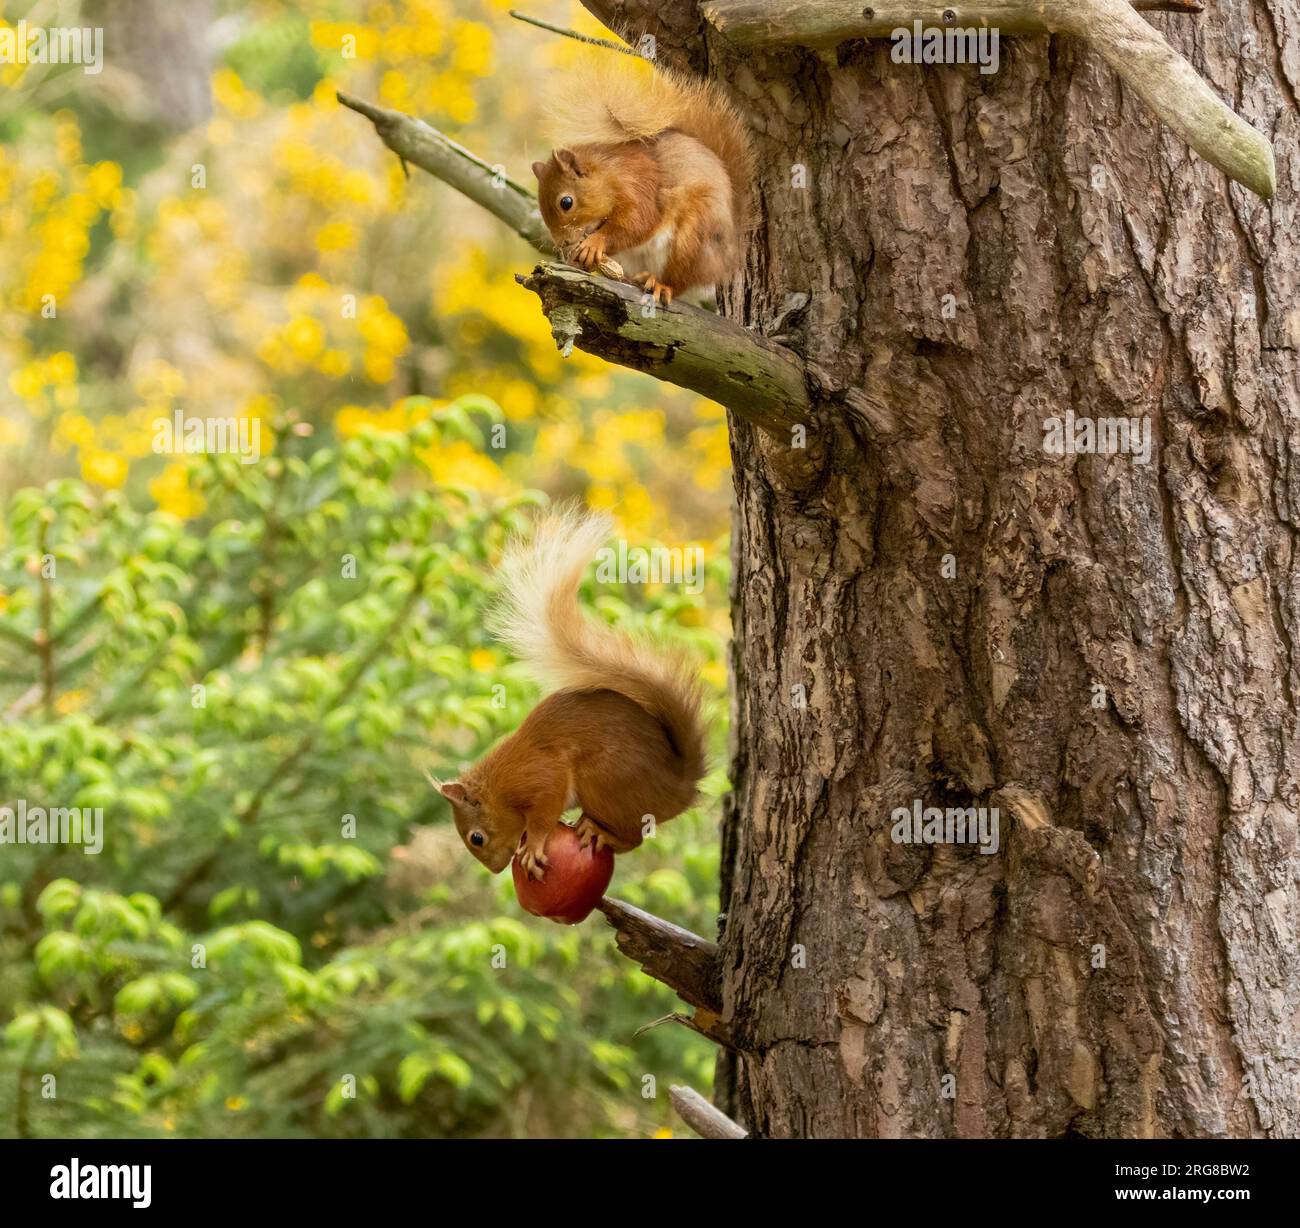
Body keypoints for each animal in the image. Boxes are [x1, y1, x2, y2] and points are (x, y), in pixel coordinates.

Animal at [436, 509, 707, 883]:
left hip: (605, 782)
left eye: (476, 837)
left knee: (632, 840)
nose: (495, 869)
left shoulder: (541, 777)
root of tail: (680, 786)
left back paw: (599, 832)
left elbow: (543, 813)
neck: (499, 785)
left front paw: (534, 845)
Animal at [527, 55, 754, 306]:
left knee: (681, 280)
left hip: (693, 238)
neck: (609, 174)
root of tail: (729, 258)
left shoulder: (639, 186)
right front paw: (576, 258)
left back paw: (662, 285)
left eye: (566, 202)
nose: (563, 244)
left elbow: (637, 223)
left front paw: (595, 243)